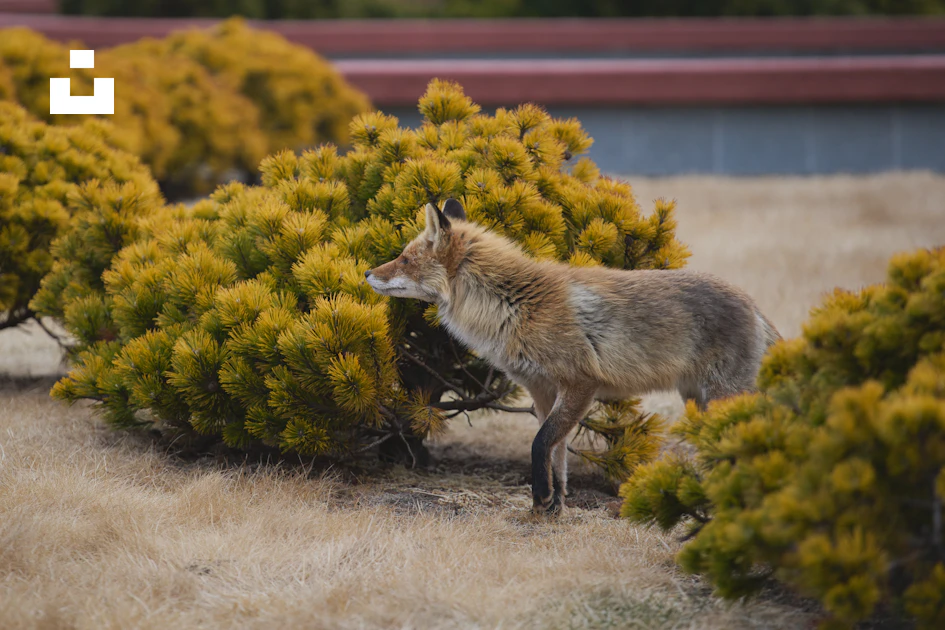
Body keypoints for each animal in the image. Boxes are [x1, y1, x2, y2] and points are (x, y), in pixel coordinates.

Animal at [365, 198, 781, 514]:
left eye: (404, 259)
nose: (367, 272)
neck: (514, 306)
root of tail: (754, 305)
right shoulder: (541, 390)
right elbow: (557, 454)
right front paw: (553, 507)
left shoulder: (581, 384)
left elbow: (540, 444)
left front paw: (541, 499)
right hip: (697, 401)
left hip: (721, 399)